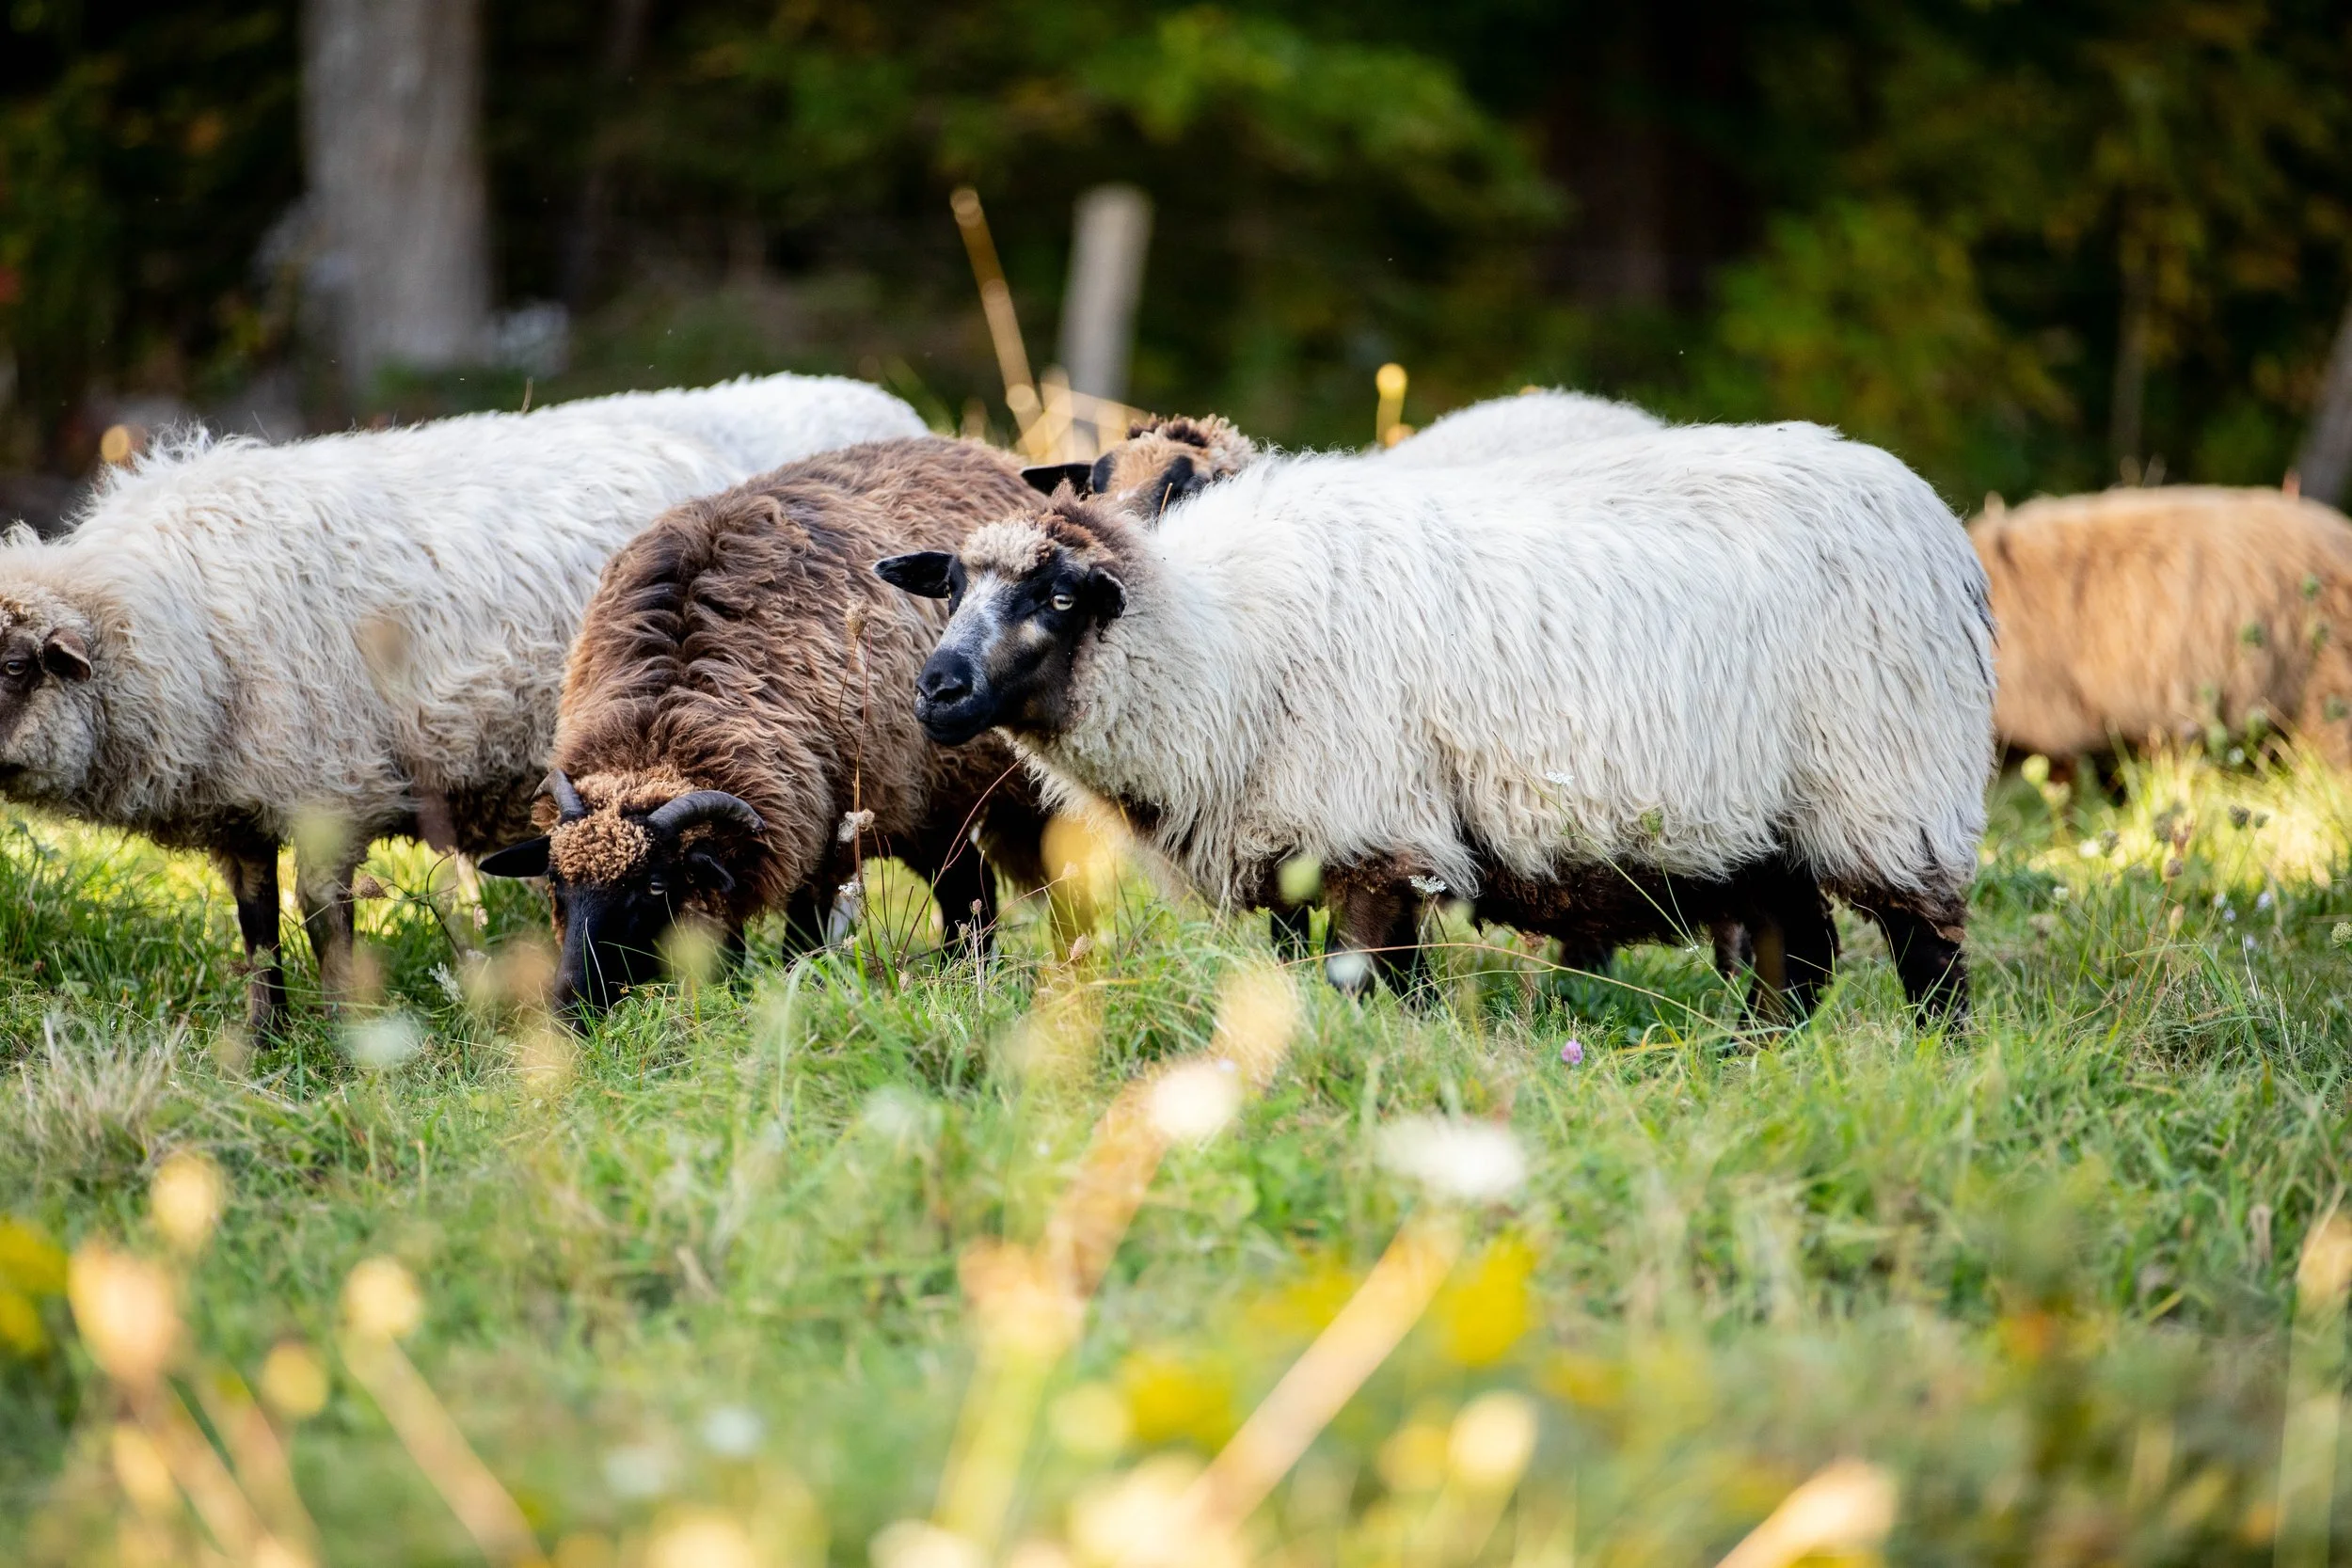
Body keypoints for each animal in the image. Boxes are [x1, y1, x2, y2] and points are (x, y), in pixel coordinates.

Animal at [0, 373, 924, 1032]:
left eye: (12, 666)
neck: (168, 618)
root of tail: (889, 408)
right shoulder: (240, 806)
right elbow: (257, 926)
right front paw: (265, 1040)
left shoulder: (329, 785)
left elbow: (322, 917)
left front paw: (347, 1034)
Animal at [476, 437, 1059, 1018]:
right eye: (556, 882)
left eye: (656, 886)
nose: (571, 1005)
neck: (661, 721)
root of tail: (988, 454)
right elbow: (725, 953)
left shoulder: (821, 843)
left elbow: (800, 947)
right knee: (969, 886)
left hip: (941, 797)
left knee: (974, 885)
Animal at [880, 419, 1992, 1019]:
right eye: (953, 588)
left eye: (1061, 597)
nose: (937, 689)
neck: (1216, 637)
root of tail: (1932, 515)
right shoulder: (1310, 838)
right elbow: (1360, 978)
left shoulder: (1372, 830)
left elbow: (1358, 976)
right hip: (1771, 822)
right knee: (1795, 957)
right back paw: (1754, 1054)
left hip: (1889, 785)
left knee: (1926, 954)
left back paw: (1937, 1057)